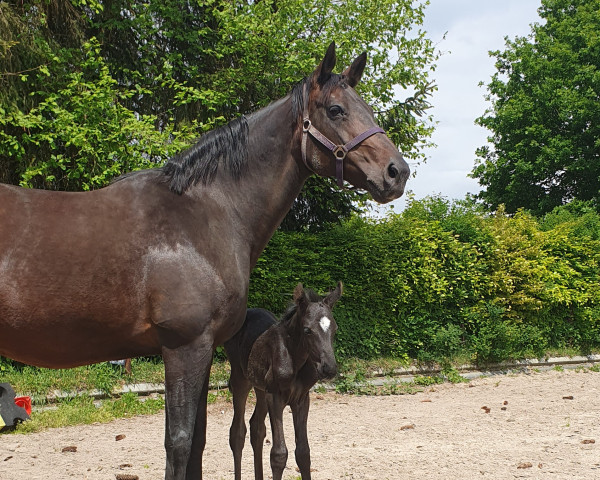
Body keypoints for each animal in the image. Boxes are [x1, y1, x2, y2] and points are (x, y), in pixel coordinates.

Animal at [224, 284, 340, 478]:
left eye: (335, 329)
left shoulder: (301, 399)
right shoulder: (276, 397)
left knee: (257, 428)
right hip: (241, 380)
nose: (329, 368)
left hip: (261, 389)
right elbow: (279, 454)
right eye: (307, 330)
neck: (296, 358)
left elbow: (303, 453)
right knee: (237, 433)